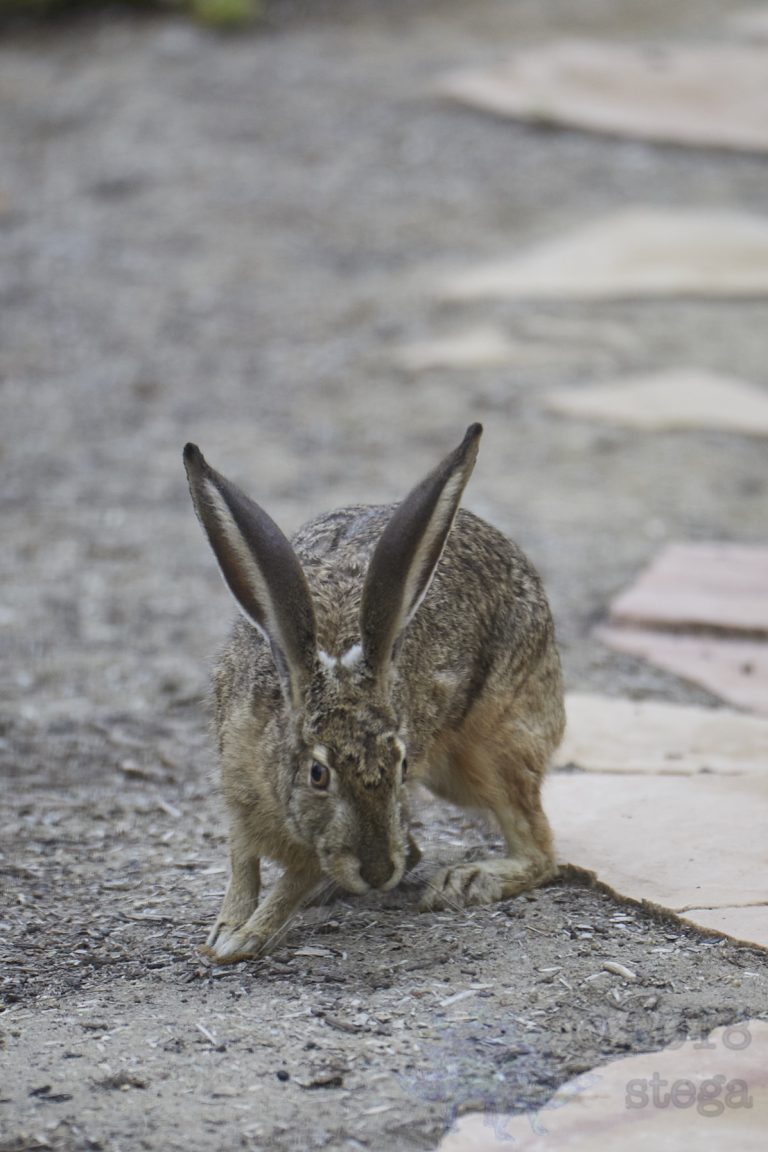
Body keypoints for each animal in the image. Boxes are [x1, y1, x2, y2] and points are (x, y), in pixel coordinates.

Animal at [183, 424, 565, 963]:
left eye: (402, 765)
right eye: (318, 773)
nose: (378, 872)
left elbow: (295, 881)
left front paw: (246, 937)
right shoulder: (237, 787)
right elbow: (242, 863)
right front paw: (226, 928)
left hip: (492, 750)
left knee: (540, 850)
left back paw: (465, 882)